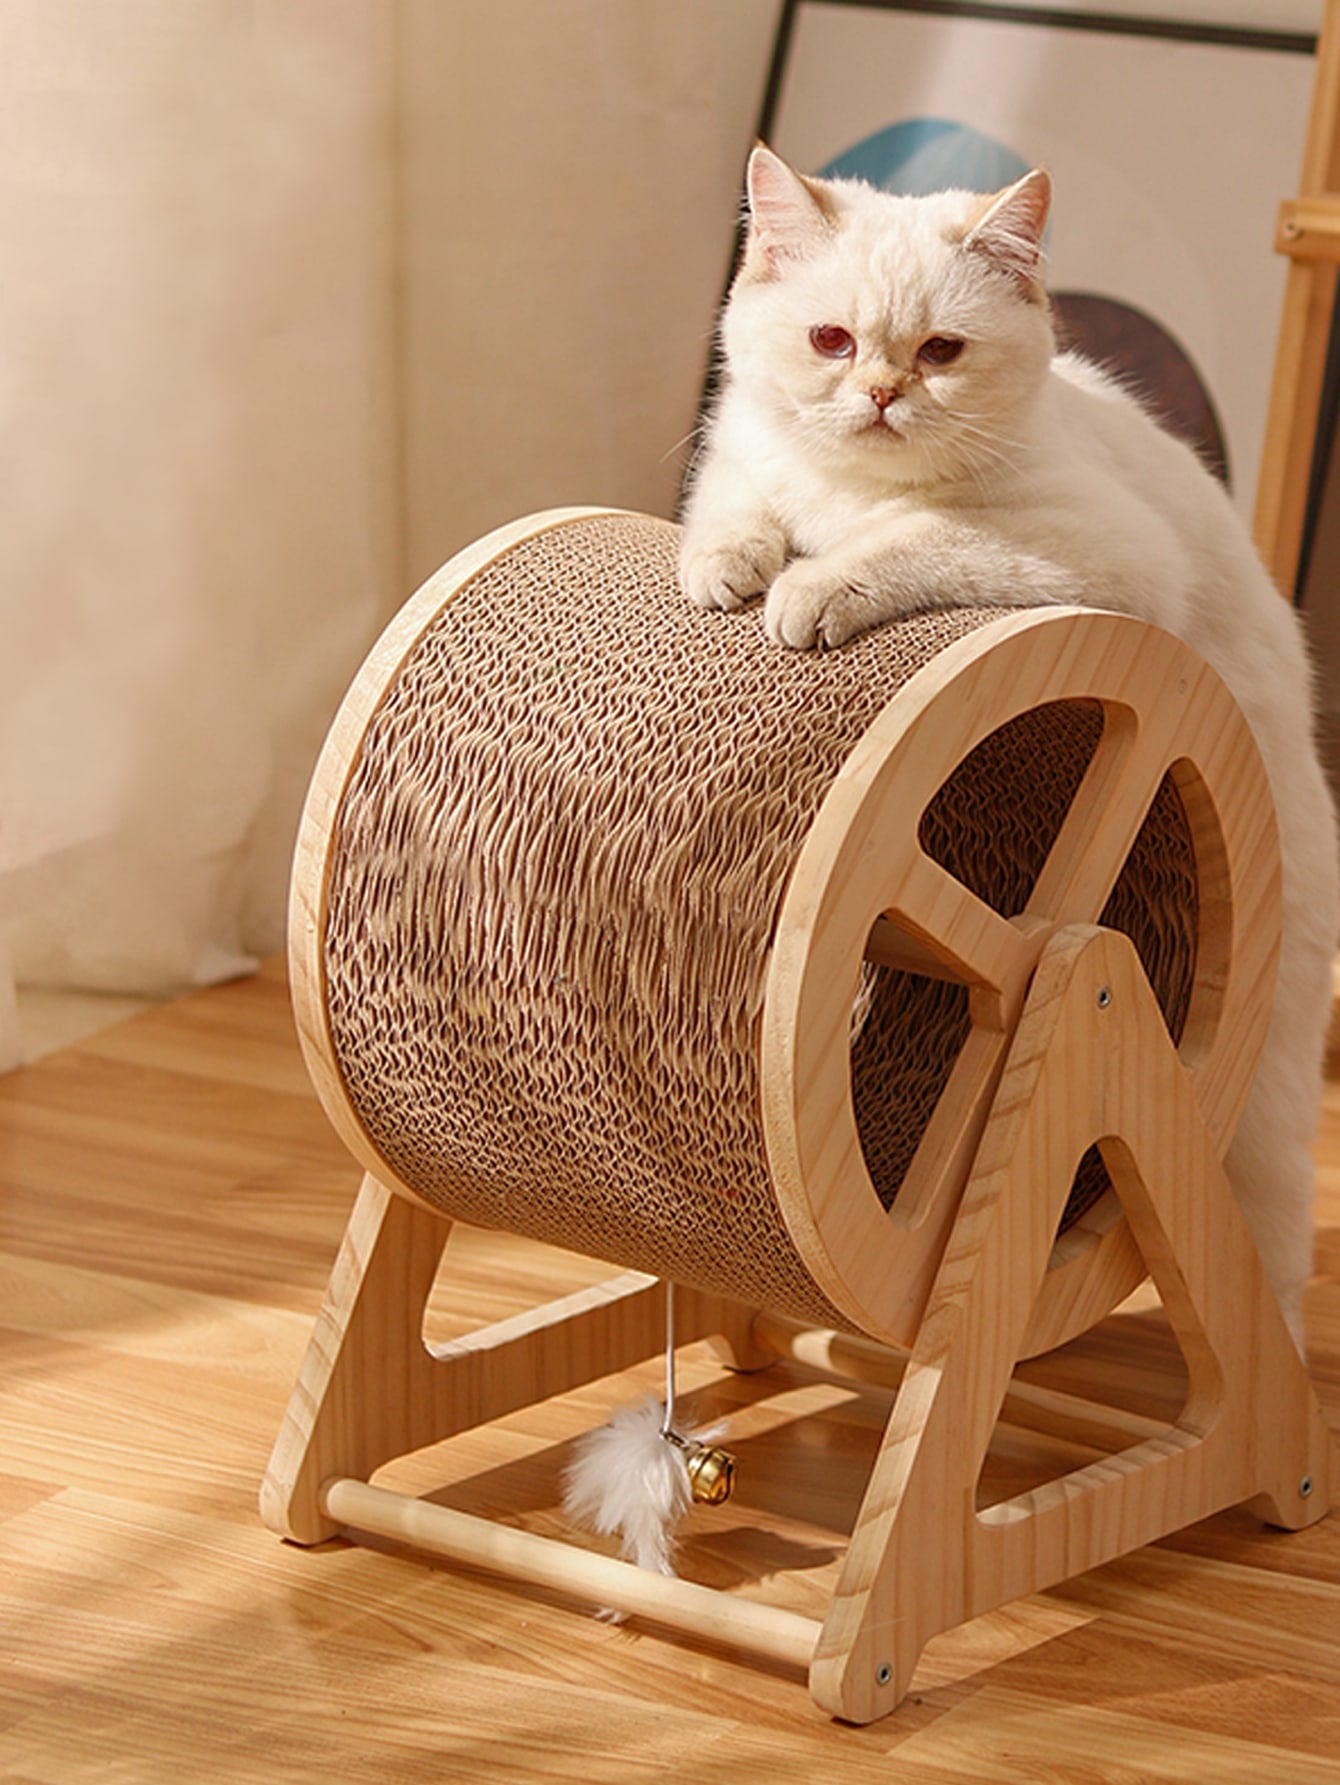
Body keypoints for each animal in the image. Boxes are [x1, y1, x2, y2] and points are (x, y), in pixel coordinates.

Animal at [685, 146, 1334, 1342]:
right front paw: (728, 568)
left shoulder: (1086, 546)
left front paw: (809, 593)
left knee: (1257, 1239)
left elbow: (913, 537)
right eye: (830, 341)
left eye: (940, 352)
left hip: (1260, 1097)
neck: (848, 490)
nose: (882, 394)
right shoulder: (733, 458)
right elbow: (732, 505)